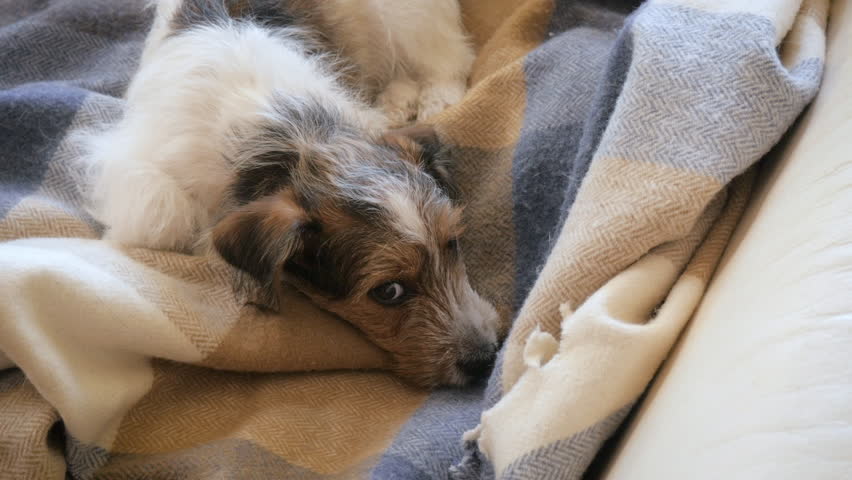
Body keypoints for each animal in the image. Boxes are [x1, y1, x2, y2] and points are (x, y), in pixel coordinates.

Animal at [81, 0, 500, 388]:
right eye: (389, 292)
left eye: (452, 245)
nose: (486, 359)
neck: (284, 139)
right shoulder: (141, 180)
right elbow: (164, 221)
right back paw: (399, 101)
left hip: (408, 18)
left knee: (449, 59)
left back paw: (435, 100)